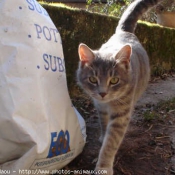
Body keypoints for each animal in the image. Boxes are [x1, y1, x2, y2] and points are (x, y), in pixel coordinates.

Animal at [77, 0, 163, 174]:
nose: (103, 93)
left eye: (114, 80)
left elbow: (110, 143)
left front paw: (103, 166)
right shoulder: (100, 108)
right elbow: (104, 125)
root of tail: (125, 31)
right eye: (93, 79)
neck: (108, 104)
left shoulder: (121, 115)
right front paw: (103, 136)